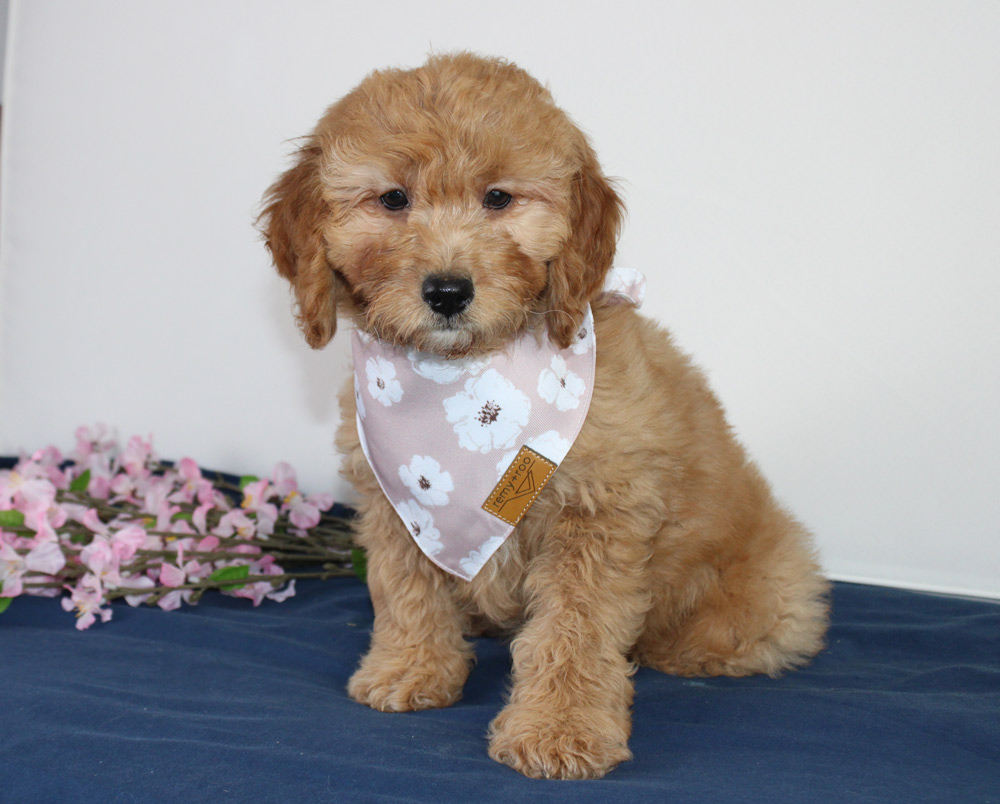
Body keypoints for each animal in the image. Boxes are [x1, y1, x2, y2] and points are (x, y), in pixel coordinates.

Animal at [260, 52, 829, 780]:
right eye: (392, 200)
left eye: (499, 199)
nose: (448, 291)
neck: (464, 379)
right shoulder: (394, 503)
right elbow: (404, 588)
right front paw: (410, 667)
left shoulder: (598, 515)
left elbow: (574, 630)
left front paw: (560, 729)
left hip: (766, 585)